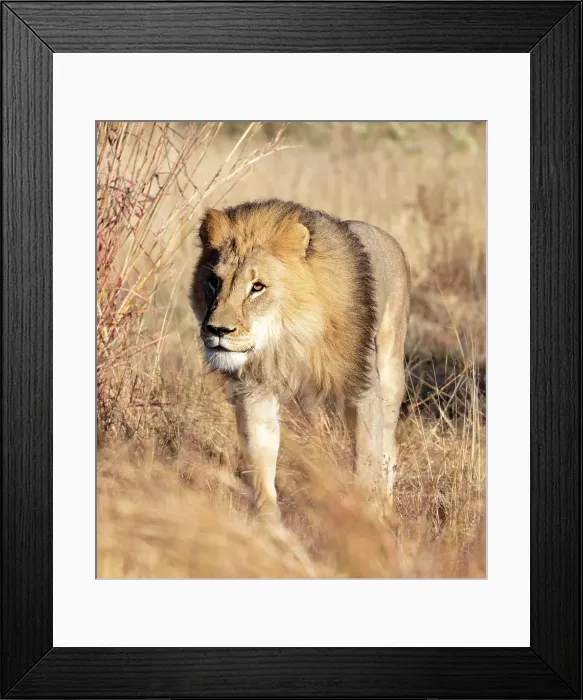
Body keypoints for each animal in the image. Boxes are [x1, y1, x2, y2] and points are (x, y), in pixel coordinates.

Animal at [190, 199, 410, 518]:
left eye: (258, 287)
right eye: (214, 281)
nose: (217, 330)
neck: (289, 338)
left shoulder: (363, 388)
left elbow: (367, 461)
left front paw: (369, 517)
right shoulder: (255, 389)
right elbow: (261, 459)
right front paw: (268, 523)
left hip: (391, 372)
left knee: (388, 448)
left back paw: (388, 509)